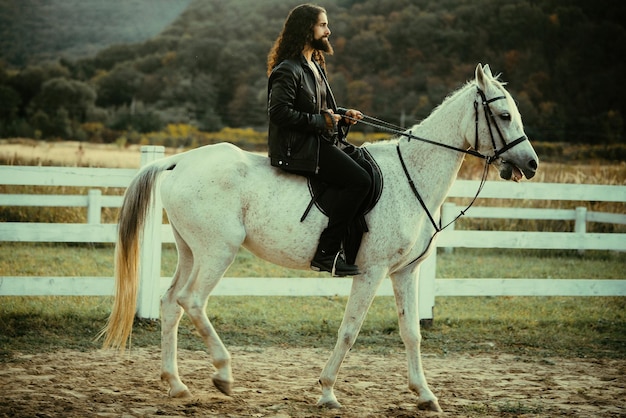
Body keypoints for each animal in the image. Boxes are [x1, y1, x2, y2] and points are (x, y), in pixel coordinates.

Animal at [101, 63, 536, 414]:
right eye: (503, 115)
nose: (530, 165)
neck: (410, 175)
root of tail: (179, 161)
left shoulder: (404, 273)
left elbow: (411, 333)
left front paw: (426, 395)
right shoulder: (371, 272)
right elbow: (349, 331)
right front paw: (327, 392)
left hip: (191, 251)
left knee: (170, 303)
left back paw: (176, 384)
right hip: (217, 252)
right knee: (191, 301)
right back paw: (223, 373)